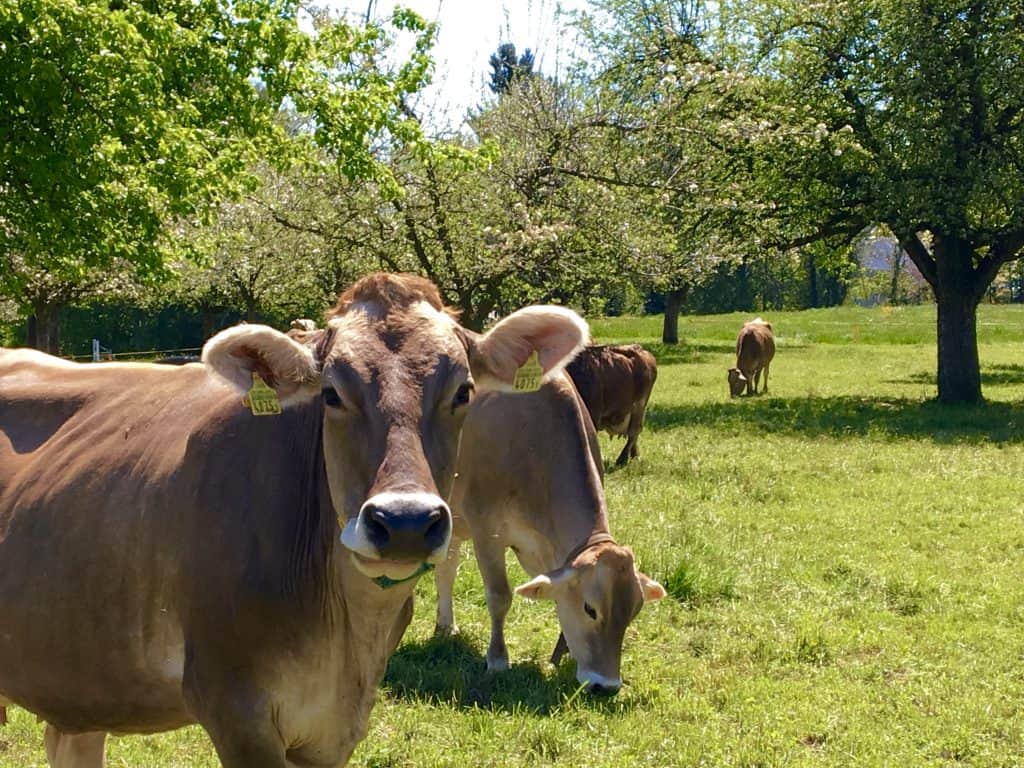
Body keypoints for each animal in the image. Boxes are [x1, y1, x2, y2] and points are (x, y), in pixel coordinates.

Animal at [0, 274, 589, 765]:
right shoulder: (236, 710)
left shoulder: (336, 729)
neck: (346, 629)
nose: (404, 522)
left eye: (463, 391)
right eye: (331, 393)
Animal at [434, 376, 667, 696]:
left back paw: (446, 625)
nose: (606, 686)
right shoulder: (485, 528)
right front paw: (497, 660)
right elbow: (499, 595)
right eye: (590, 609)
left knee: (446, 569)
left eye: (634, 610)